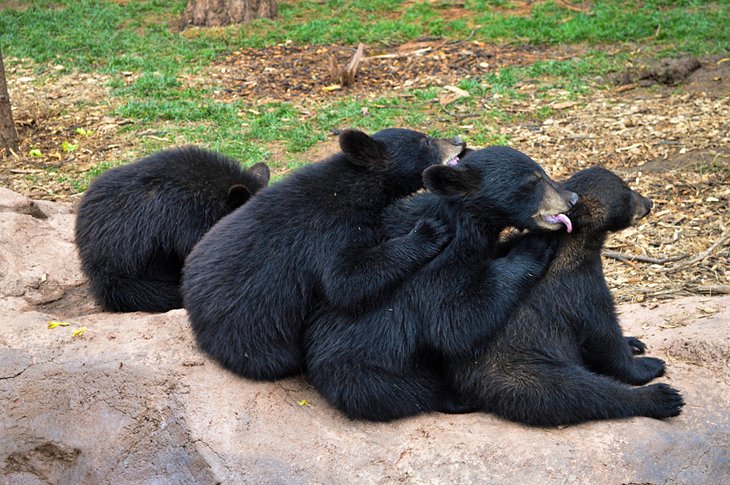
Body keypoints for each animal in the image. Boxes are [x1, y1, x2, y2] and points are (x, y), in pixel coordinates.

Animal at [182, 129, 466, 382]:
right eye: (425, 141)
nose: (458, 141)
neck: (357, 188)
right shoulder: (331, 230)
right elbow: (345, 281)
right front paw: (429, 232)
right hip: (251, 329)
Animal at [302, 146, 576, 422]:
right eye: (533, 181)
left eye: (543, 172)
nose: (572, 198)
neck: (465, 223)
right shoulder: (440, 261)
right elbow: (454, 320)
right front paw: (533, 246)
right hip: (366, 370)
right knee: (404, 391)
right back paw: (457, 398)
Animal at [444, 168, 684, 426]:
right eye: (626, 193)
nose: (648, 202)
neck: (576, 243)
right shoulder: (579, 288)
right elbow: (604, 334)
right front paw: (647, 364)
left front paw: (635, 341)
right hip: (522, 372)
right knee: (578, 391)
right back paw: (662, 397)